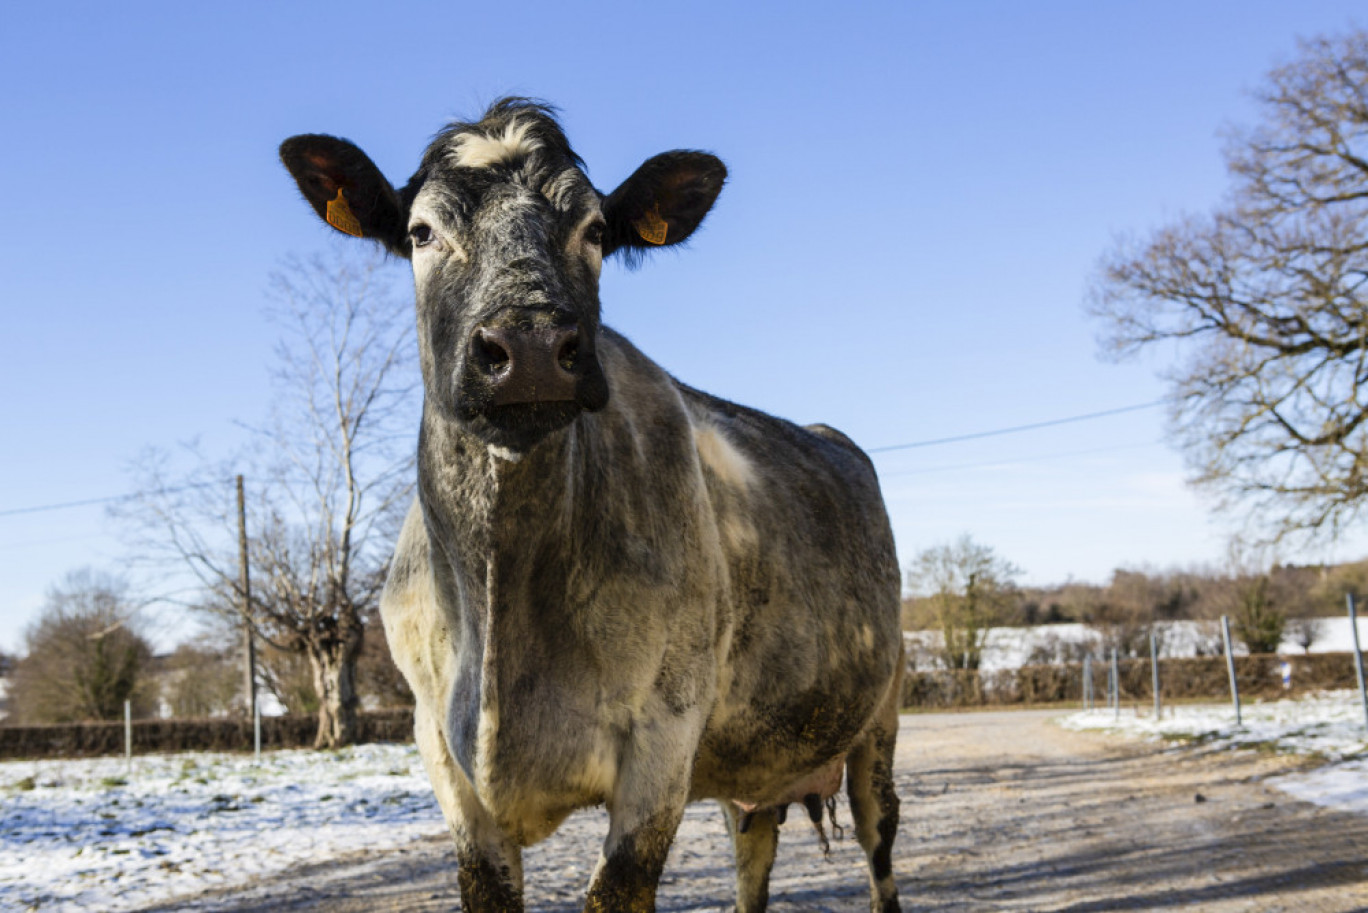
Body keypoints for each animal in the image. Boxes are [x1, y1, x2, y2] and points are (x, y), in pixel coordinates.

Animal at [281, 99, 902, 913]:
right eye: (420, 232)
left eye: (598, 230)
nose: (530, 347)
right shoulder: (442, 754)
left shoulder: (664, 741)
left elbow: (617, 888)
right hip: (752, 767)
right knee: (754, 852)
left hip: (880, 720)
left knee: (878, 849)